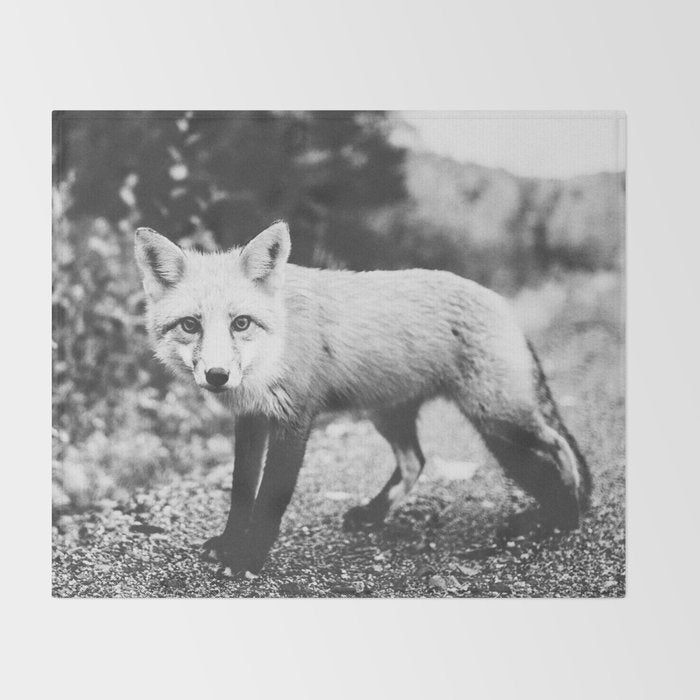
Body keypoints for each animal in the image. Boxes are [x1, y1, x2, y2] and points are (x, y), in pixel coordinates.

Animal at [135, 220, 591, 576]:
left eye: (241, 323)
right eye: (190, 325)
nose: (217, 376)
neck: (274, 349)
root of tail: (500, 301)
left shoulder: (295, 418)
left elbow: (270, 499)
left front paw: (247, 558)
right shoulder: (251, 419)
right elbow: (241, 491)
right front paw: (229, 543)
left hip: (498, 418)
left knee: (559, 445)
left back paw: (561, 518)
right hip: (393, 416)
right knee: (415, 461)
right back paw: (374, 515)